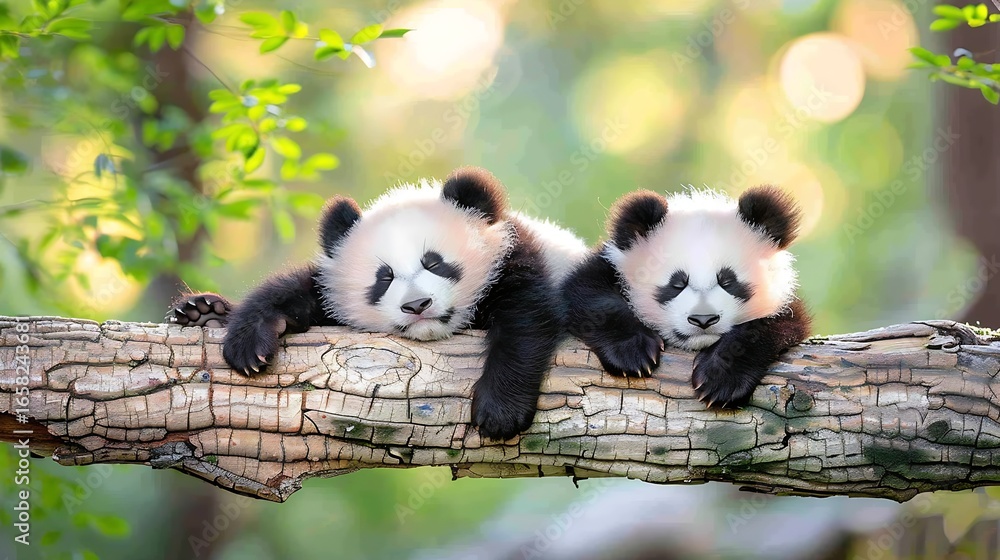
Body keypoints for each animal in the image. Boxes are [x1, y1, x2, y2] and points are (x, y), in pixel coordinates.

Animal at [168, 166, 589, 441]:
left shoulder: (521, 263)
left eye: (434, 262)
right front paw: (246, 340)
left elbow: (526, 320)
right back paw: (204, 313)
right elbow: (296, 290)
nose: (417, 305)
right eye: (383, 278)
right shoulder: (330, 288)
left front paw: (499, 413)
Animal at [561, 185, 811, 408]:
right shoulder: (606, 266)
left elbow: (772, 326)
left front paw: (721, 379)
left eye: (727, 281)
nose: (703, 319)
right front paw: (632, 353)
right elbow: (588, 294)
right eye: (677, 284)